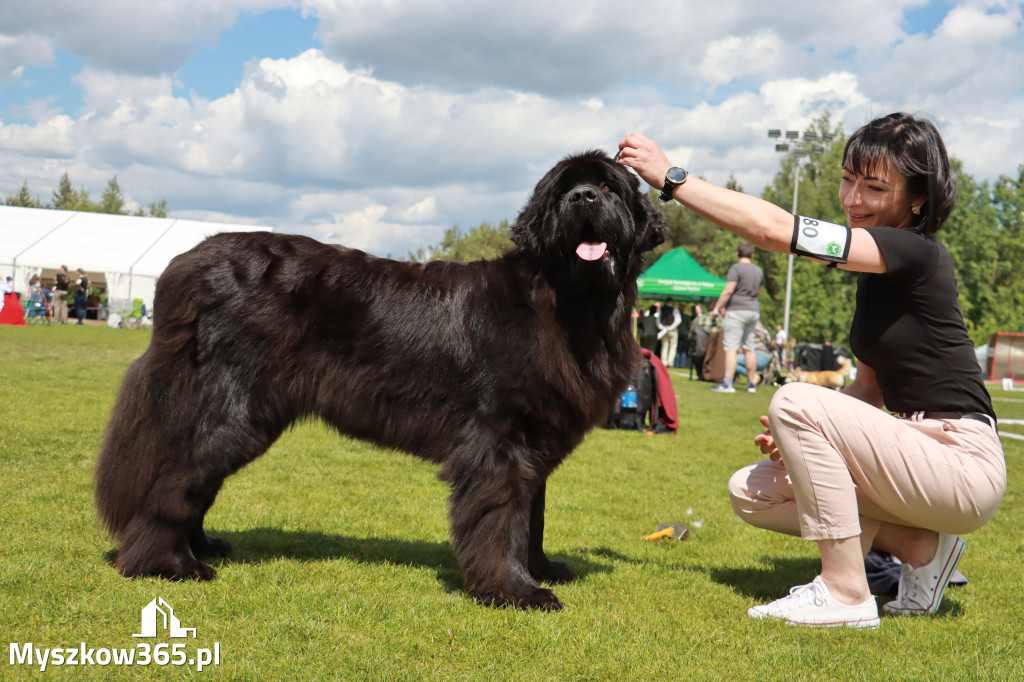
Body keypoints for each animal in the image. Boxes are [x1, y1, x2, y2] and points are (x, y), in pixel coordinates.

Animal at [96, 147, 667, 606]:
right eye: (562, 193)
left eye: (609, 188)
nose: (584, 199)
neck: (570, 304)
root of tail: (188, 261)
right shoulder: (499, 443)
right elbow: (503, 519)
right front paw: (515, 591)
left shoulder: (536, 439)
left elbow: (533, 517)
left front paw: (542, 569)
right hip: (234, 409)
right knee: (178, 479)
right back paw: (168, 564)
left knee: (196, 480)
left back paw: (200, 547)